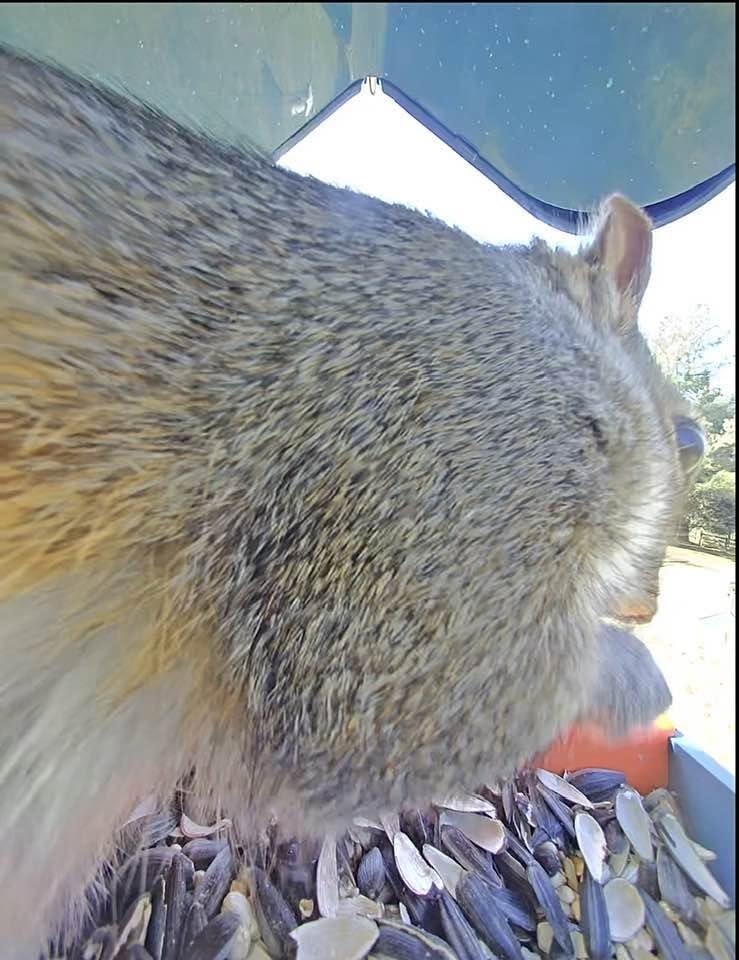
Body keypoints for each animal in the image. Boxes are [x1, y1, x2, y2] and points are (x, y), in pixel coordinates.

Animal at [0, 46, 706, 957]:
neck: (553, 334)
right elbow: (433, 704)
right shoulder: (435, 466)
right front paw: (638, 678)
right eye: (687, 439)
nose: (649, 609)